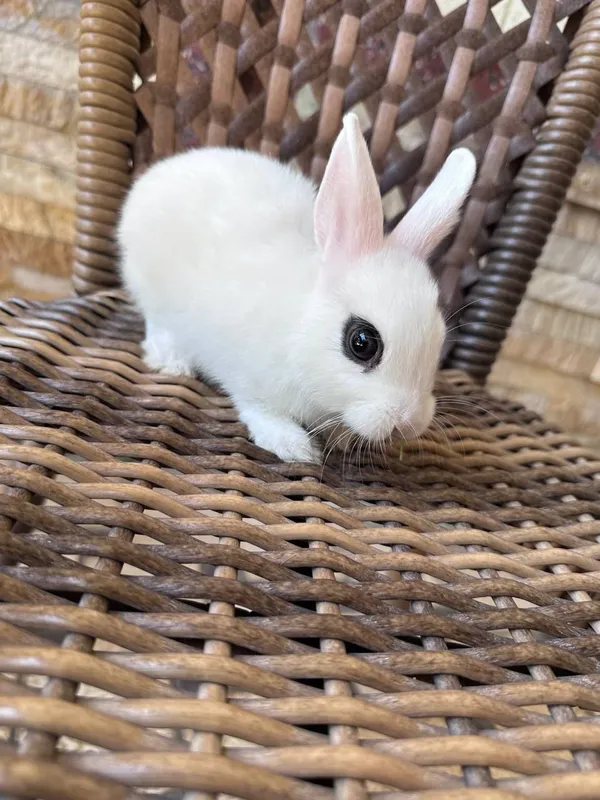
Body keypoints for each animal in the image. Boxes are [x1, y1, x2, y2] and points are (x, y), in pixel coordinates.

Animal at [118, 113, 476, 463]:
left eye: (440, 338)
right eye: (362, 343)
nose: (407, 422)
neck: (299, 330)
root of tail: (159, 173)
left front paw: (341, 437)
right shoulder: (250, 382)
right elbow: (260, 412)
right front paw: (294, 447)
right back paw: (172, 361)